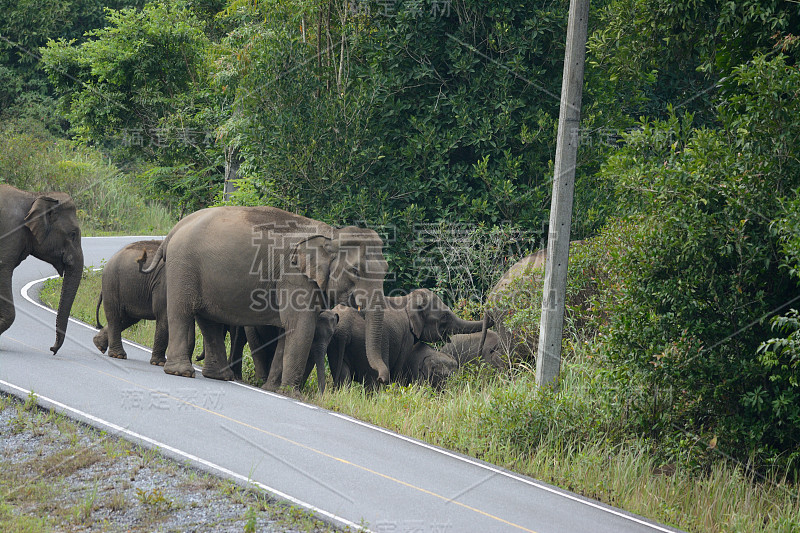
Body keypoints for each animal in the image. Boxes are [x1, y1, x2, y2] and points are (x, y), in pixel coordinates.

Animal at [328, 288, 484, 388]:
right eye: (445, 316)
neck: (407, 300)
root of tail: (345, 328)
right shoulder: (406, 336)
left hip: (337, 345)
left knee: (343, 378)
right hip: (364, 345)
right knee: (371, 380)